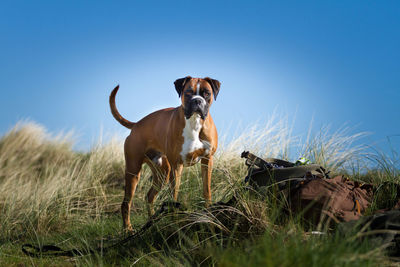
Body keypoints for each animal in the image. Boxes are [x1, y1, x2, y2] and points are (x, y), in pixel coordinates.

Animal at [108, 76, 219, 231]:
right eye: (188, 93)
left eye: (207, 93)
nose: (197, 100)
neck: (194, 122)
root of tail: (137, 124)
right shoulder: (177, 166)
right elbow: (174, 196)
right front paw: (175, 221)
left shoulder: (207, 160)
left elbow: (206, 190)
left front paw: (209, 214)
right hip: (133, 171)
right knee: (126, 203)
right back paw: (128, 229)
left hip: (162, 173)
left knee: (149, 196)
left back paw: (152, 223)